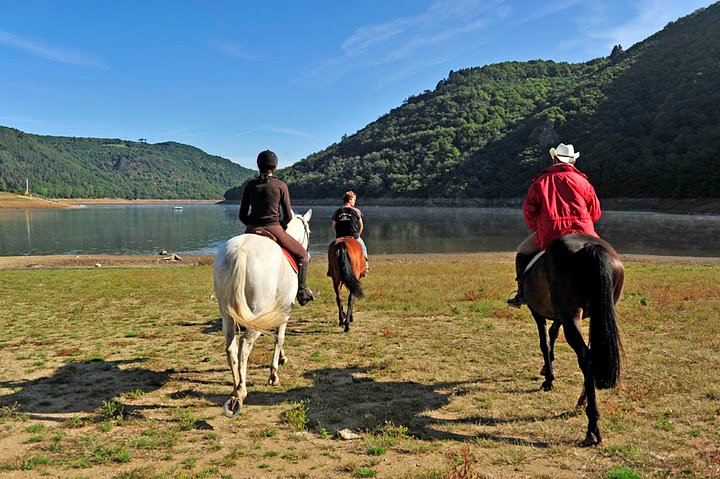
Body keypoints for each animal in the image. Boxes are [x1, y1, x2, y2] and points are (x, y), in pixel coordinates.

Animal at [212, 209, 310, 416]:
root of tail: (240, 252)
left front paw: (281, 358)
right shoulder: (284, 310)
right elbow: (279, 338)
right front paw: (274, 373)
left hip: (228, 316)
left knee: (231, 347)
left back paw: (236, 385)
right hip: (256, 313)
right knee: (244, 345)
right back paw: (241, 391)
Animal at [524, 234, 624, 448]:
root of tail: (592, 248)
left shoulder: (537, 311)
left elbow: (544, 342)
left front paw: (548, 379)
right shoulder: (559, 315)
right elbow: (553, 333)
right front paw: (548, 368)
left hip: (571, 314)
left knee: (585, 358)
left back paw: (592, 428)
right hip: (599, 313)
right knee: (592, 355)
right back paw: (582, 402)